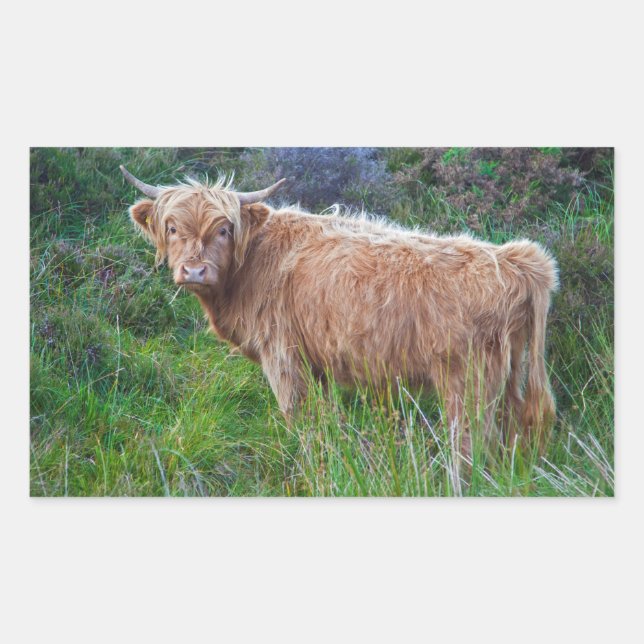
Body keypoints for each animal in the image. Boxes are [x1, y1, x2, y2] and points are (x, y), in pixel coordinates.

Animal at [121, 165, 558, 459]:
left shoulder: (281, 356)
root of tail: (518, 259)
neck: (250, 266)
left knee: (472, 446)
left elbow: (296, 416)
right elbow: (326, 418)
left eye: (224, 229)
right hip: (511, 374)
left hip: (468, 382)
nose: (194, 271)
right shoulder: (318, 363)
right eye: (172, 228)